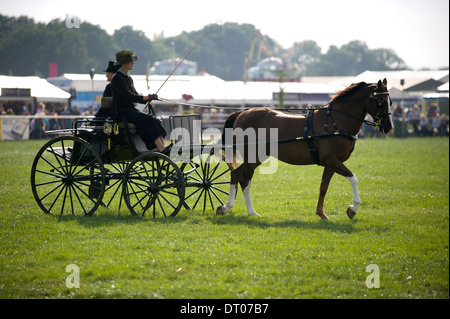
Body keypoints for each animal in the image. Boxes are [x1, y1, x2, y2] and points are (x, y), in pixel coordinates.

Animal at [216, 79, 392, 221]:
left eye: (389, 101)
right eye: (380, 102)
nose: (389, 127)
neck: (335, 122)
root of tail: (242, 113)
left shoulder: (330, 164)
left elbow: (323, 187)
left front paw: (321, 214)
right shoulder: (332, 160)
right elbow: (353, 178)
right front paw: (352, 210)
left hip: (258, 156)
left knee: (242, 178)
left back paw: (245, 211)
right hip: (251, 155)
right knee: (238, 176)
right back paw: (232, 208)